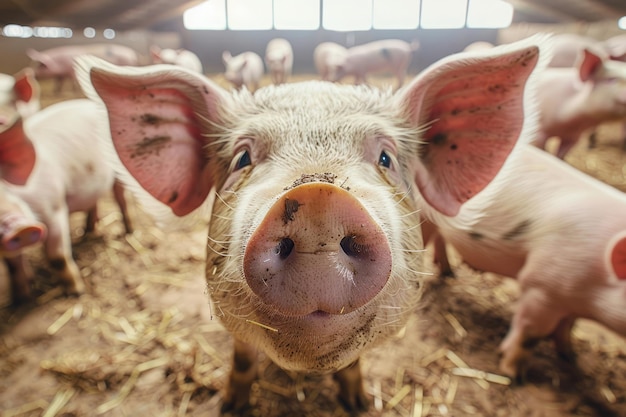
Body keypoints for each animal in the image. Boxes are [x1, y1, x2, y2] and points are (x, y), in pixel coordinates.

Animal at [0, 97, 133, 302]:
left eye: (5, 187)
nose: (17, 227)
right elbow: (13, 267)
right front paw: (20, 300)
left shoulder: (54, 209)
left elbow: (58, 257)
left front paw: (76, 293)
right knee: (93, 203)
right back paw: (88, 232)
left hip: (119, 169)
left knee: (121, 198)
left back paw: (129, 232)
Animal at [77, 33, 544, 412]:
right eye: (242, 158)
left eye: (386, 158)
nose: (320, 199)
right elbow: (242, 361)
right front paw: (230, 407)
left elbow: (353, 365)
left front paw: (358, 405)